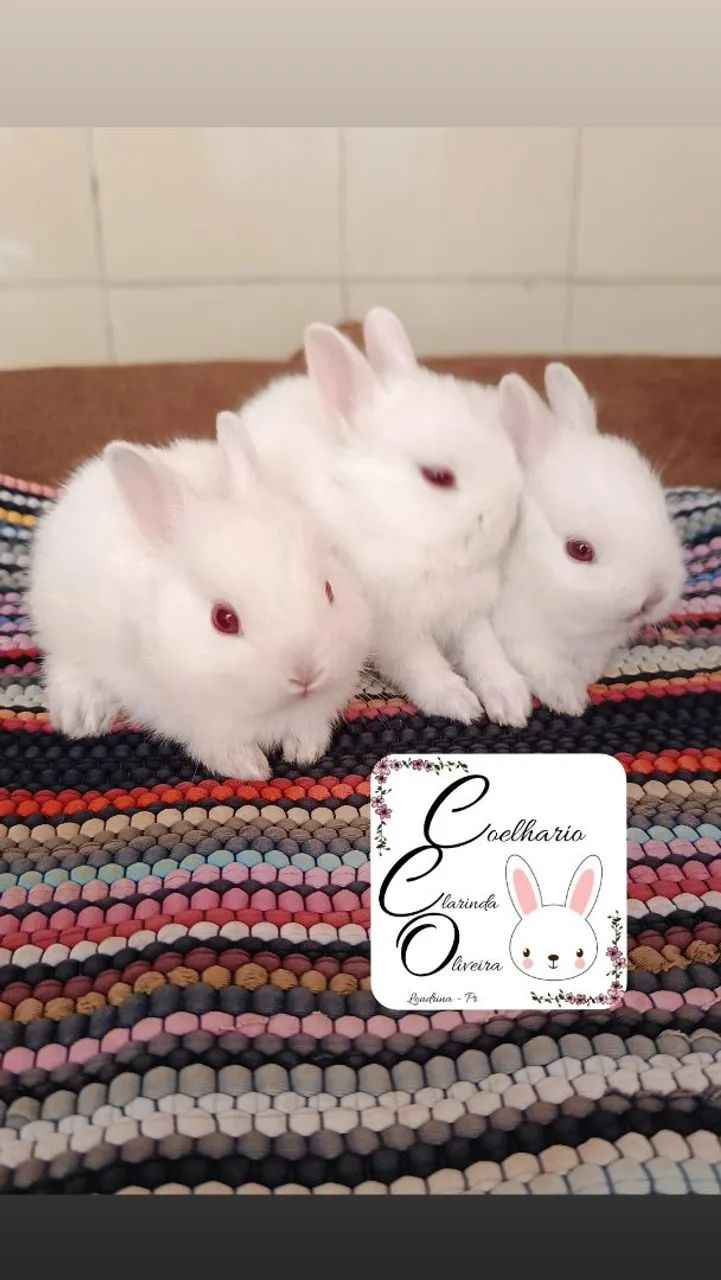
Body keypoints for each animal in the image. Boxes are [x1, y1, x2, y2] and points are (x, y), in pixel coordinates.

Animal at [28, 413, 370, 781]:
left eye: (329, 589)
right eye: (224, 619)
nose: (306, 675)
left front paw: (305, 751)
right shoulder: (186, 714)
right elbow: (217, 743)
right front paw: (250, 768)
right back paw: (81, 718)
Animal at [238, 308, 531, 727]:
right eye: (438, 476)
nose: (503, 514)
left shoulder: (470, 614)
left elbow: (484, 650)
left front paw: (511, 701)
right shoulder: (395, 629)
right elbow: (421, 662)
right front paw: (457, 702)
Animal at [492, 363, 687, 717]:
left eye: (662, 509)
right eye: (579, 550)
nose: (653, 597)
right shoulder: (521, 637)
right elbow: (546, 667)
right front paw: (570, 700)